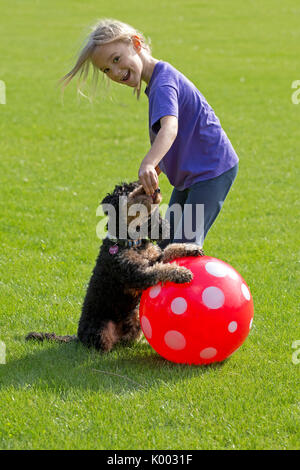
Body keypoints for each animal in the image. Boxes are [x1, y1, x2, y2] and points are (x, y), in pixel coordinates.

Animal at [26, 182, 204, 350]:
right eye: (129, 189)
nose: (157, 189)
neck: (132, 243)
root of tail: (78, 337)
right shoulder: (136, 274)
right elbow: (161, 269)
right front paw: (182, 273)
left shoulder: (154, 258)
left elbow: (168, 251)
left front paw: (190, 249)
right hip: (102, 329)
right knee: (102, 346)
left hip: (135, 318)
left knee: (129, 340)